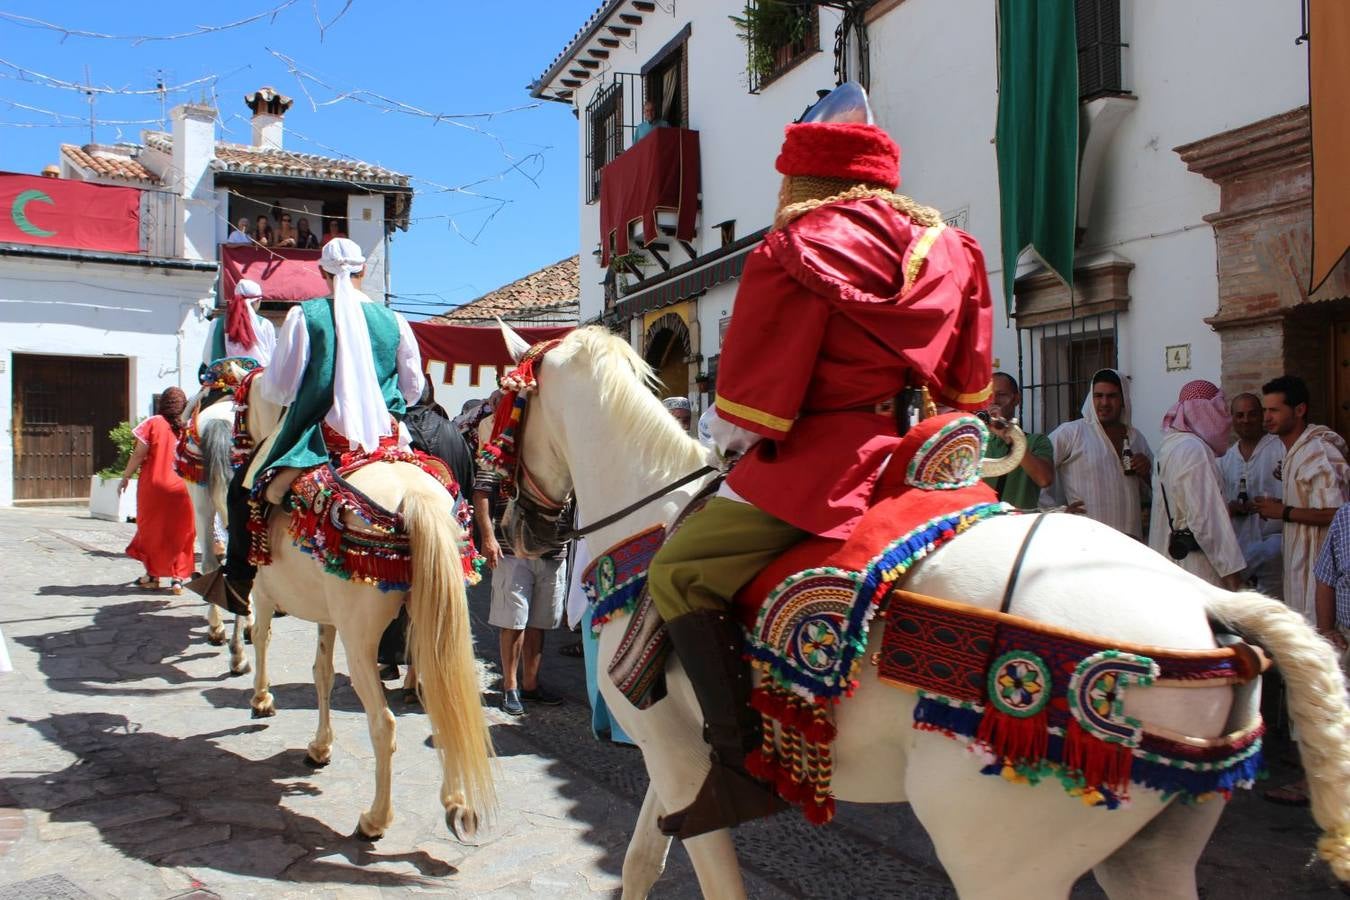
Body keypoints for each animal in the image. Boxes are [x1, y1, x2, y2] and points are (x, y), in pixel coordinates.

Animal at [238, 372, 496, 836]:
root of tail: (414, 498)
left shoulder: (264, 593)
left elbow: (263, 638)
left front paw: (262, 700)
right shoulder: (327, 617)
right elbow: (321, 673)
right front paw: (320, 746)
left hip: (360, 640)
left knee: (383, 724)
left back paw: (375, 819)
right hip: (431, 625)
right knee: (442, 700)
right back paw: (454, 800)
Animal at [499, 325, 1350, 900]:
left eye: (502, 407)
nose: (513, 528)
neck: (654, 519)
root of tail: (1204, 599)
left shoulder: (676, 759)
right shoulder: (674, 760)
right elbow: (643, 859)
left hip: (1001, 857)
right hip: (1152, 852)